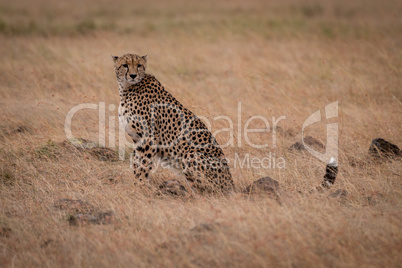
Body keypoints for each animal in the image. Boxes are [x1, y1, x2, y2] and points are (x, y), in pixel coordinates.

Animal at [111, 53, 234, 194]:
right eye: (125, 65)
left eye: (139, 65)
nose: (132, 75)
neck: (127, 89)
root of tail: (231, 185)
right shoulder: (137, 139)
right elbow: (137, 163)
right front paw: (137, 184)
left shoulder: (148, 138)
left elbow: (144, 164)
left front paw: (140, 186)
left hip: (190, 155)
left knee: (204, 191)